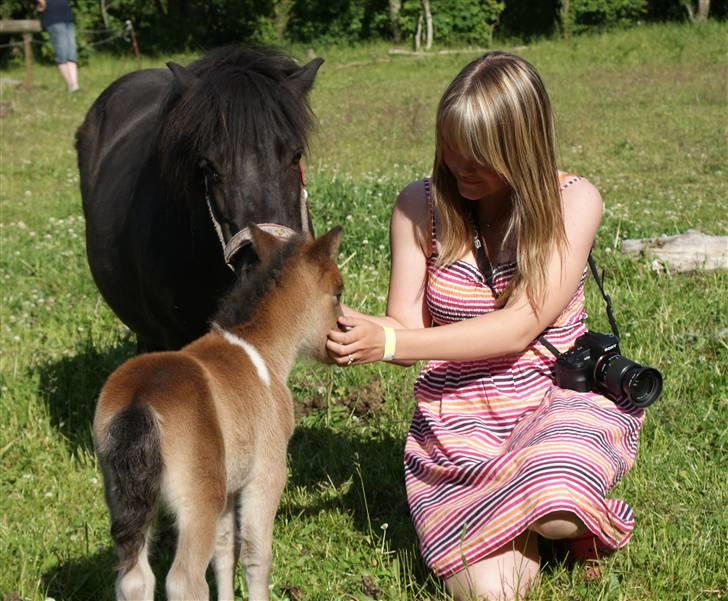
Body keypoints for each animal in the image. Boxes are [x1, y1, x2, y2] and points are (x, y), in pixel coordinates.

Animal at [93, 225, 344, 600]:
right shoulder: (265, 476)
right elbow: (256, 554)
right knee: (184, 580)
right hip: (199, 499)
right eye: (339, 292)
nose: (342, 337)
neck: (262, 350)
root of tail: (140, 401)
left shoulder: (229, 489)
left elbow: (225, 551)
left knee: (134, 578)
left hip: (123, 495)